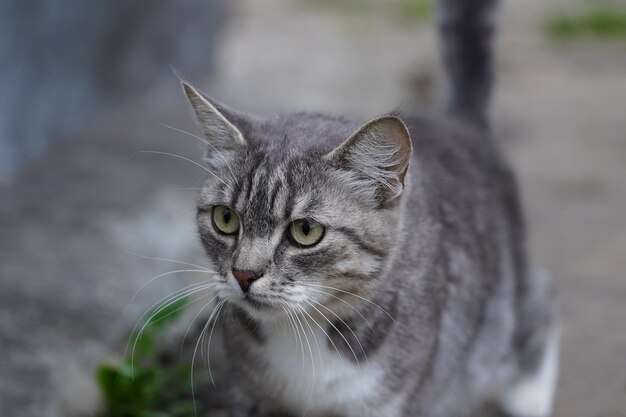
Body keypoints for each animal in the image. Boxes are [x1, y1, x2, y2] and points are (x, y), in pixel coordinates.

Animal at [180, 0, 556, 416]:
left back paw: (527, 397)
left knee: (540, 305)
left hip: (503, 311)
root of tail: (461, 124)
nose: (244, 274)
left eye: (305, 231)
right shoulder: (250, 397)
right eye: (225, 219)